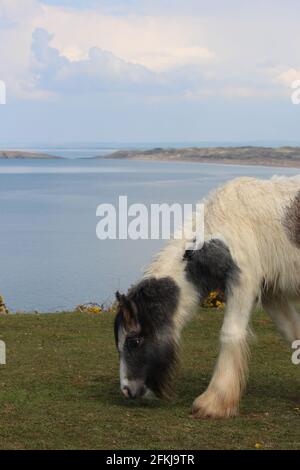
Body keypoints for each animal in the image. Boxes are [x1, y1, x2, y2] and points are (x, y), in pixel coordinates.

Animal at [113, 176, 300, 418]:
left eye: (134, 341)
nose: (126, 390)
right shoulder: (271, 292)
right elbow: (292, 332)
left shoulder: (243, 282)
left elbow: (230, 333)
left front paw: (213, 403)